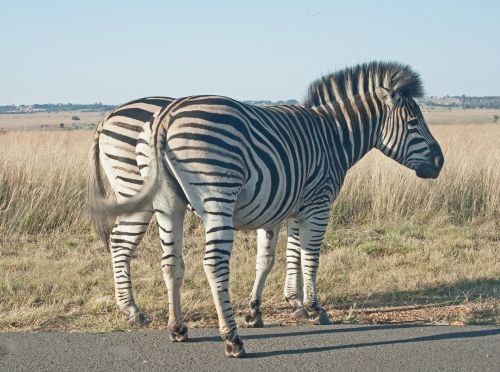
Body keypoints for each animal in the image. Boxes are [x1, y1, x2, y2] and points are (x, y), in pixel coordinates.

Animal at [90, 61, 442, 358]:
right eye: (414, 123)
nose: (440, 162)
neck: (332, 137)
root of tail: (162, 117)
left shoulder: (284, 208)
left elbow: (274, 258)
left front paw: (264, 309)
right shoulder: (317, 204)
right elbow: (310, 257)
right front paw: (313, 309)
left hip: (166, 203)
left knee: (168, 262)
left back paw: (176, 327)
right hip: (203, 194)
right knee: (200, 260)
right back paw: (225, 338)